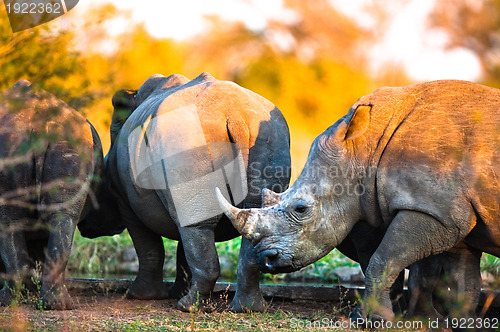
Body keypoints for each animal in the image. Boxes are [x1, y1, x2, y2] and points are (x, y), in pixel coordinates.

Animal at [76, 72, 292, 312]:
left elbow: (149, 247)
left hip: (188, 139)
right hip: (269, 135)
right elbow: (184, 250)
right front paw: (175, 292)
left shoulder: (127, 202)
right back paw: (246, 308)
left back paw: (187, 307)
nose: (83, 226)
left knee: (194, 228)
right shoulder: (179, 200)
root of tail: (237, 116)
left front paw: (140, 296)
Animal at [218, 79, 500, 320]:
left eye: (301, 208)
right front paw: (459, 323)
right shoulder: (453, 217)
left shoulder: (434, 211)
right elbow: (465, 283)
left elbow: (384, 259)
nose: (266, 258)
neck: (365, 150)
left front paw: (373, 320)